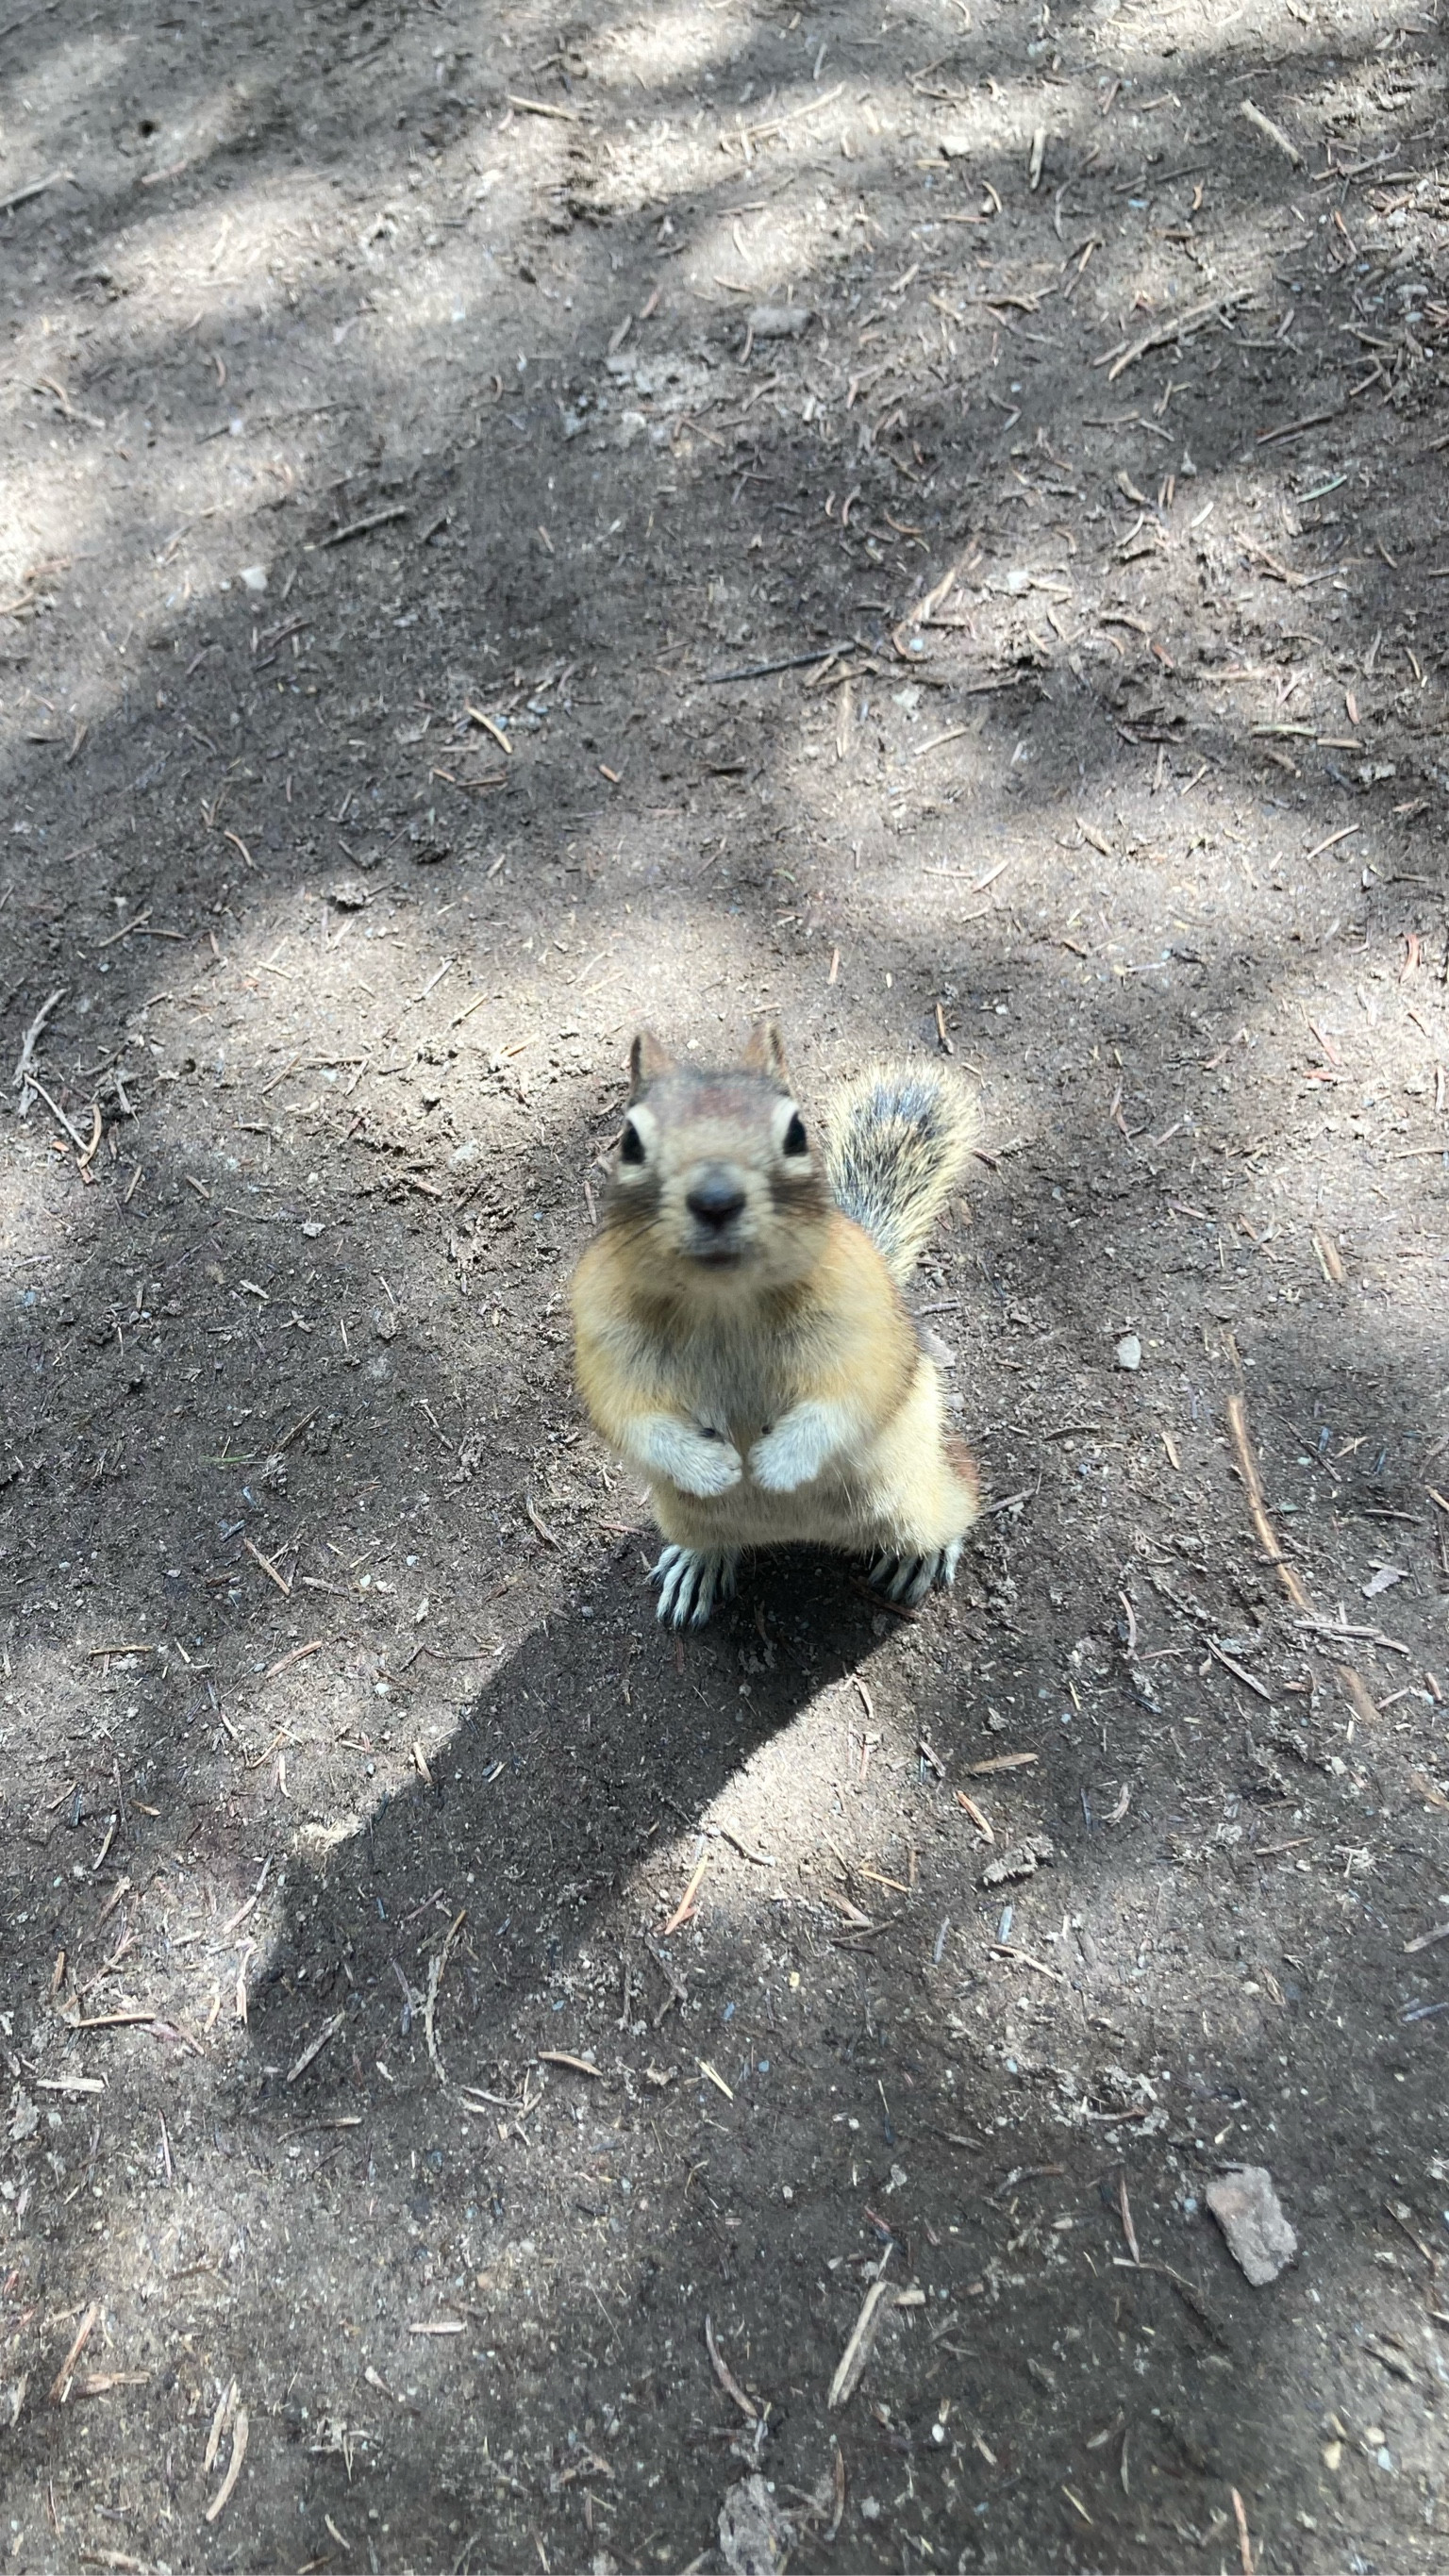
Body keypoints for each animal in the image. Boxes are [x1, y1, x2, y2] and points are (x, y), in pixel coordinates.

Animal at [570, 1023, 983, 1627]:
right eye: (630, 1140)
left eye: (796, 1132)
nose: (716, 1199)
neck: (724, 1299)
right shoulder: (603, 1333)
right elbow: (629, 1416)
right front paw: (713, 1468)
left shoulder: (866, 1326)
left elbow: (849, 1400)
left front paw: (778, 1464)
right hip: (682, 1515)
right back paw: (697, 1562)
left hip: (918, 1495)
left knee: (961, 1495)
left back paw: (923, 1554)